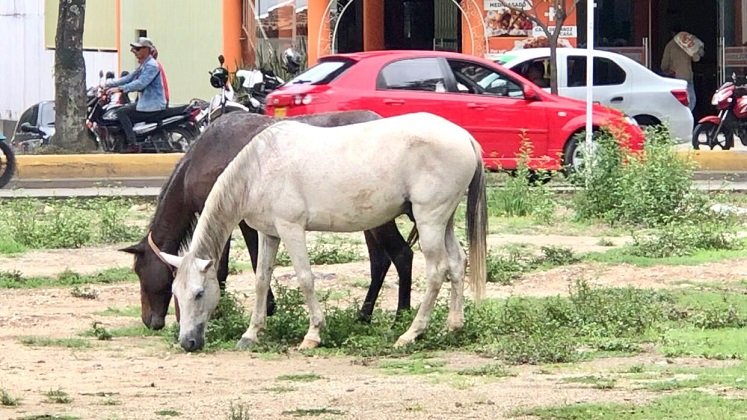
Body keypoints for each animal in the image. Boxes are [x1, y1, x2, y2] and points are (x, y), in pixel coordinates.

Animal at [122, 110, 414, 332]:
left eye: (139, 271)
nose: (150, 321)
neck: (202, 157)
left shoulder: (238, 220)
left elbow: (236, 265)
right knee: (380, 261)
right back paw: (364, 316)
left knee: (401, 254)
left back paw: (401, 318)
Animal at [155, 111, 488, 352]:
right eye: (174, 293)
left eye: (199, 294)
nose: (188, 343)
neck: (260, 167)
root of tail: (465, 138)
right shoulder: (268, 234)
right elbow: (262, 279)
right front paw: (252, 333)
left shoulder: (291, 228)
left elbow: (305, 278)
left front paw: (313, 334)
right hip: (443, 220)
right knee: (456, 263)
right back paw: (452, 327)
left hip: (429, 220)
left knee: (436, 271)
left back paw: (410, 333)